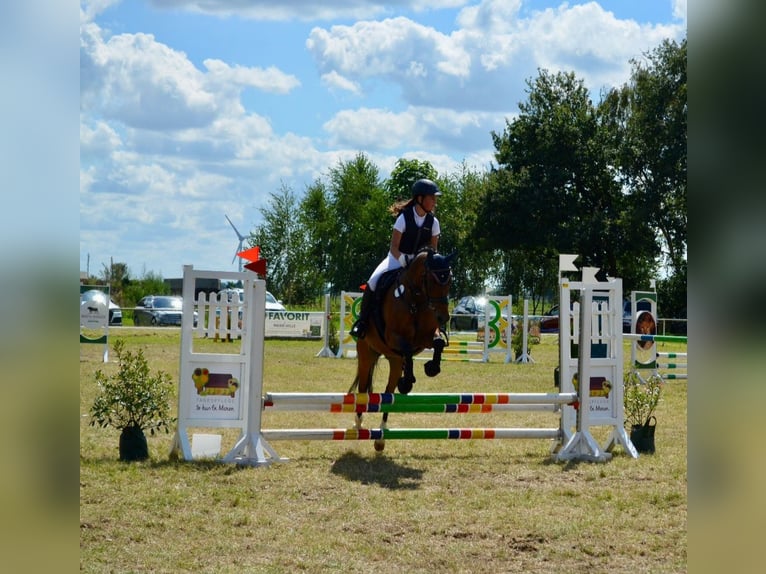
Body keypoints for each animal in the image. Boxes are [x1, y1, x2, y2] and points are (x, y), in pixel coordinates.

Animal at [352, 250, 456, 452]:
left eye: (449, 281)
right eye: (431, 281)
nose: (443, 317)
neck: (416, 300)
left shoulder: (425, 338)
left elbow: (438, 343)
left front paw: (432, 368)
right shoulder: (393, 336)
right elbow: (407, 349)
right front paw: (407, 382)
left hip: (393, 360)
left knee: (388, 394)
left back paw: (381, 437)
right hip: (366, 354)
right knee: (362, 388)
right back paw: (358, 423)